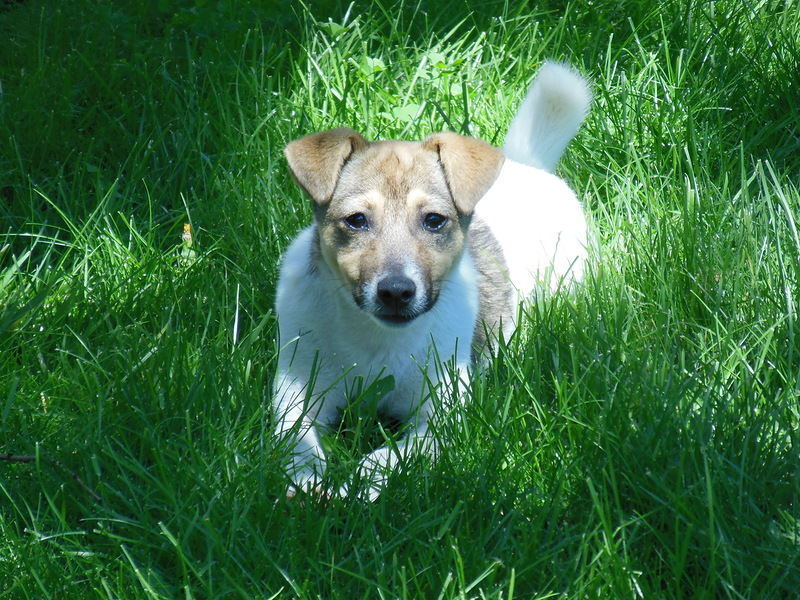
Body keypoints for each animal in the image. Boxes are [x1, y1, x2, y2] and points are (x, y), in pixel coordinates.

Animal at [272, 62, 592, 502]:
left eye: (434, 220)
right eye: (356, 220)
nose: (396, 292)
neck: (377, 340)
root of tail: (528, 166)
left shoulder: (442, 412)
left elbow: (389, 455)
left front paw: (357, 485)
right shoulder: (296, 388)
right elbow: (296, 439)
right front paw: (308, 480)